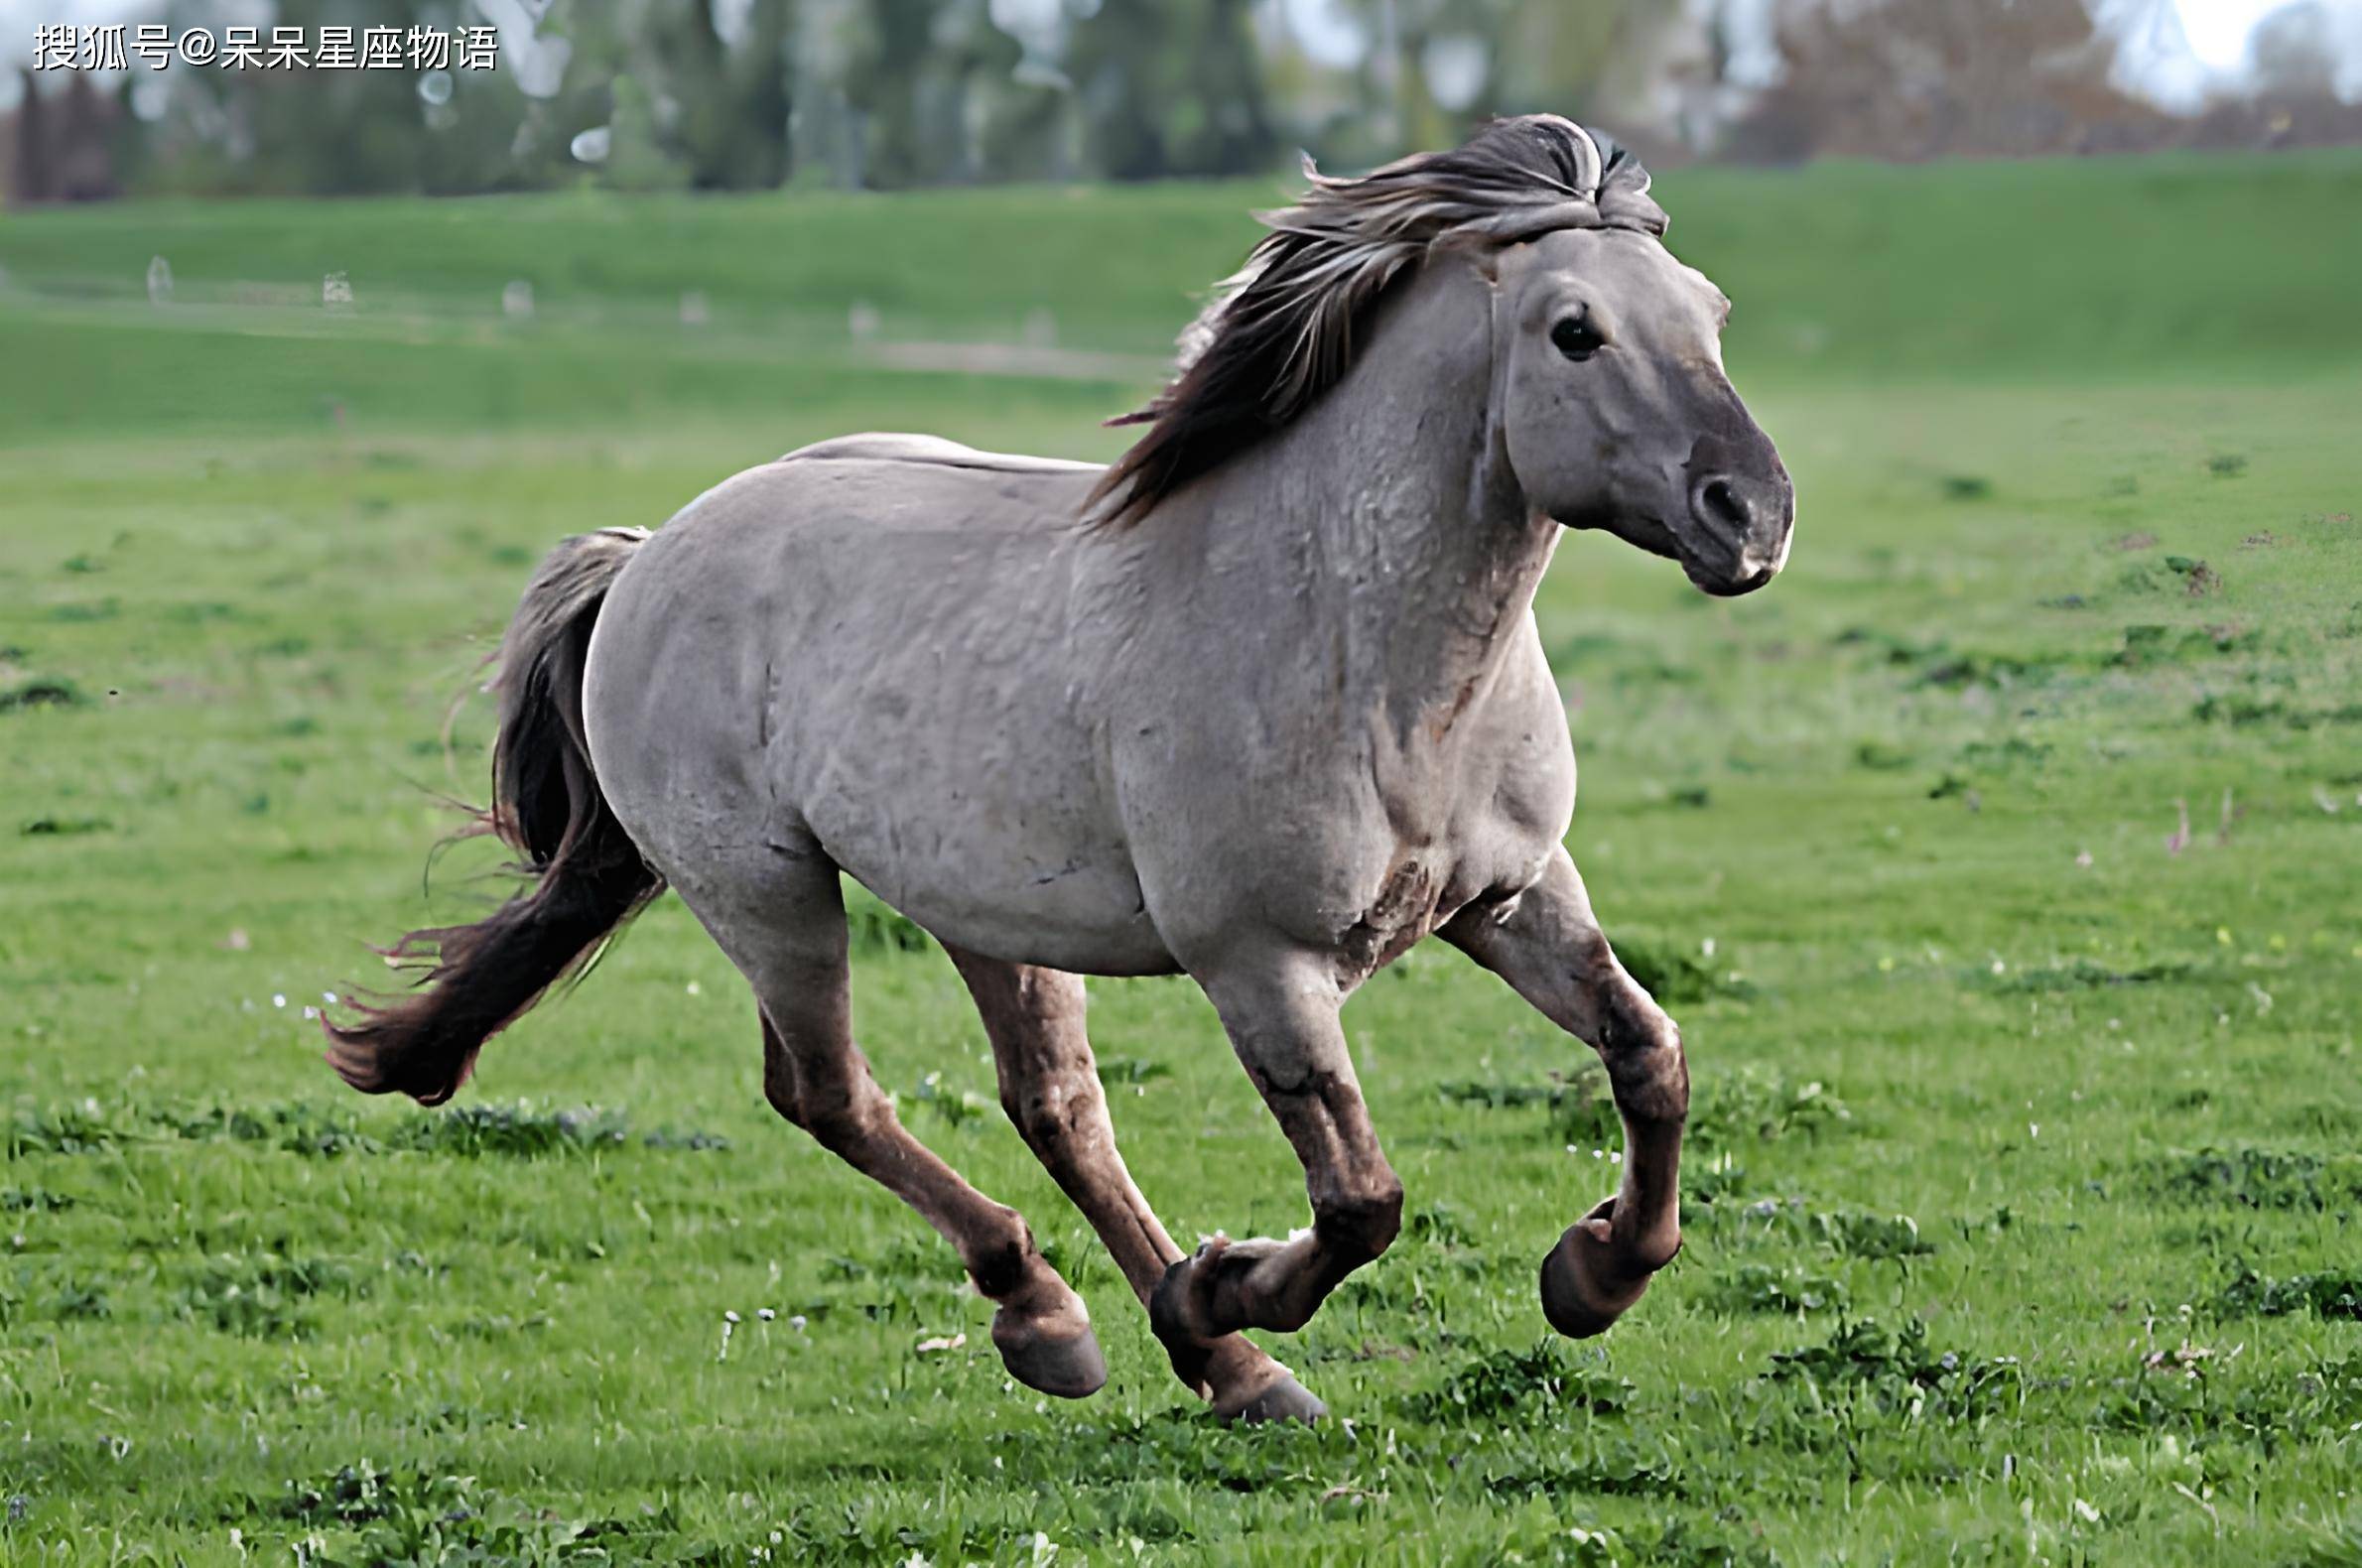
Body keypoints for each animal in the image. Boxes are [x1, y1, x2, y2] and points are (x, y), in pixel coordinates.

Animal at [332, 116, 1785, 1426]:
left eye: (1713, 312)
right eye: (1574, 332)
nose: (1752, 513)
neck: (1358, 648)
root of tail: (647, 556)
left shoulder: (1514, 895)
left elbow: (1650, 1055)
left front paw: (1592, 1273)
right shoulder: (1259, 964)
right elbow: (1360, 1201)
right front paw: (1227, 1280)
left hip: (984, 907)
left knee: (1055, 1108)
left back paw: (1223, 1370)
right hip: (763, 889)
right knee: (831, 1094)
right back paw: (1062, 1315)